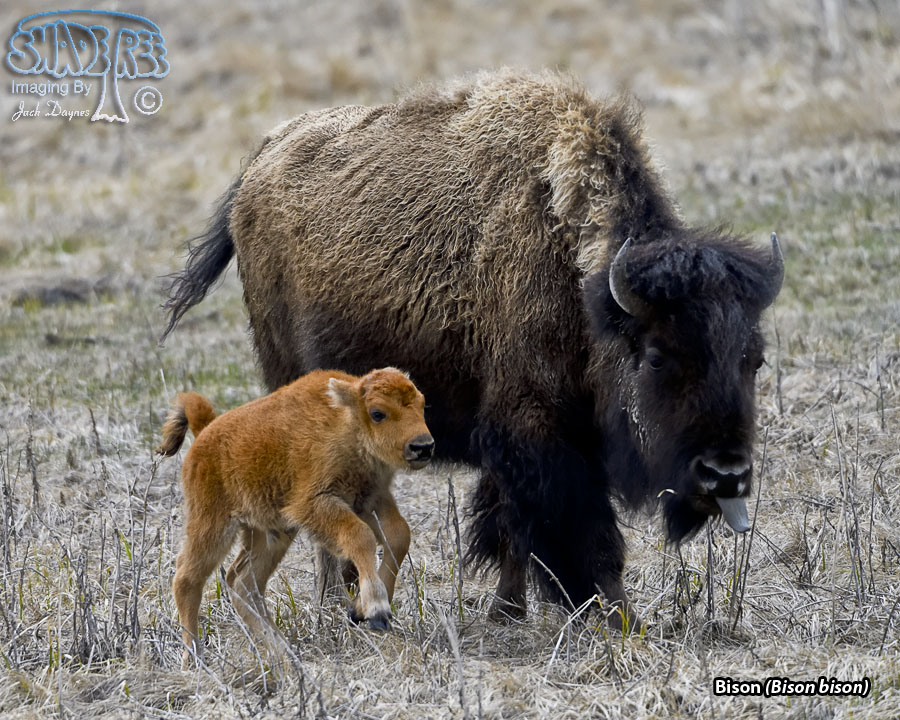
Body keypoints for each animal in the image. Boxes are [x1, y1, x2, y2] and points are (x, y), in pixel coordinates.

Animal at [161, 70, 783, 624]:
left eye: (753, 359)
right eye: (656, 356)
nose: (726, 474)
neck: (584, 285)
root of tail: (260, 160)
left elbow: (511, 528)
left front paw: (507, 611)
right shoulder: (539, 437)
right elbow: (577, 533)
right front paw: (618, 617)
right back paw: (338, 603)